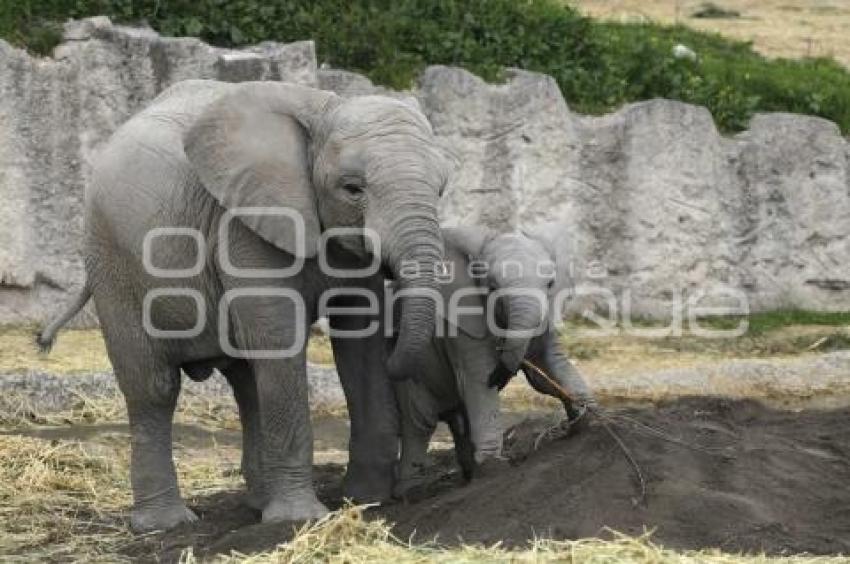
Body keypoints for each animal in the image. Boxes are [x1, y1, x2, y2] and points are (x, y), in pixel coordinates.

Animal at [39, 79, 448, 532]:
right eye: (352, 188)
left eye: (441, 189)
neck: (324, 107)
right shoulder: (245, 224)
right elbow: (279, 339)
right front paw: (299, 519)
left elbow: (360, 341)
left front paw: (365, 500)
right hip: (112, 263)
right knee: (154, 387)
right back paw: (168, 524)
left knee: (247, 382)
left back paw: (257, 504)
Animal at [390, 223, 588, 496]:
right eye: (492, 287)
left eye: (550, 284)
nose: (502, 373)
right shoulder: (463, 323)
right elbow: (478, 379)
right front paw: (494, 468)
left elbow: (550, 365)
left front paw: (588, 419)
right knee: (419, 420)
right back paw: (412, 492)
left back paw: (468, 474)